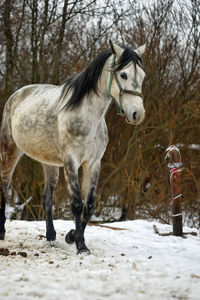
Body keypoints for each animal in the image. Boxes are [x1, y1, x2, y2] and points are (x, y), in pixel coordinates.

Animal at [0, 40, 146, 253]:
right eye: (123, 75)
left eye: (143, 76)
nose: (137, 113)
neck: (88, 118)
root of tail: (16, 95)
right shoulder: (71, 162)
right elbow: (77, 204)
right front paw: (81, 245)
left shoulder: (93, 164)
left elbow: (89, 205)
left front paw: (72, 236)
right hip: (10, 151)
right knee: (4, 187)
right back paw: (2, 232)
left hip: (50, 164)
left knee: (47, 199)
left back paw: (51, 237)